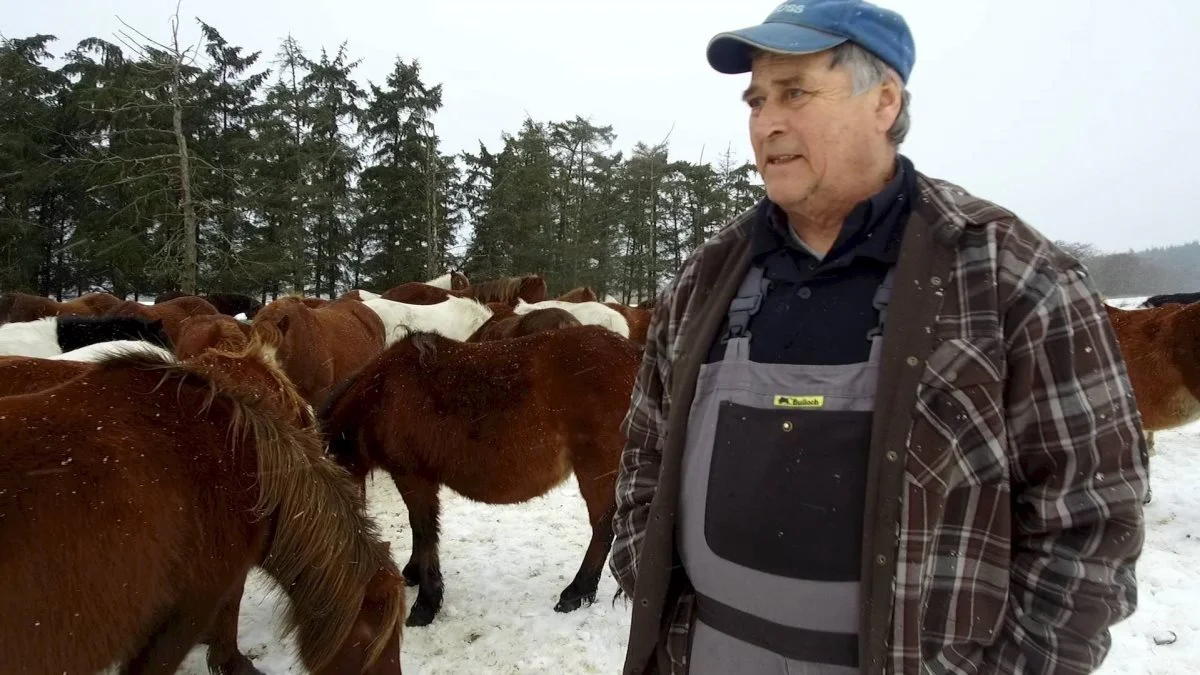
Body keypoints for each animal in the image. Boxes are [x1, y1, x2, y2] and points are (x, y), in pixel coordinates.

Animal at [316, 324, 638, 624]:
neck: (383, 393)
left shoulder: (413, 477)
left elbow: (423, 530)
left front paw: (426, 603)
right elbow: (420, 530)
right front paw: (414, 574)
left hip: (596, 471)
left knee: (602, 528)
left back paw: (576, 592)